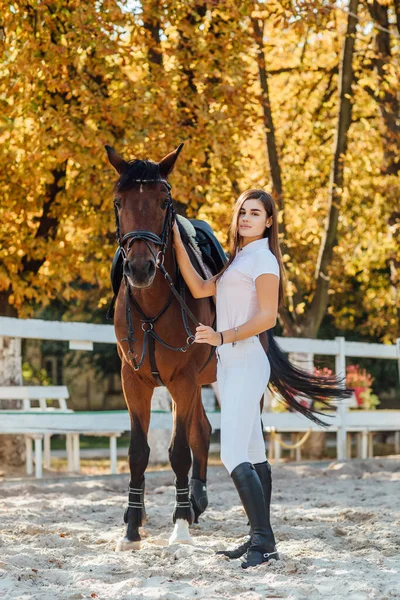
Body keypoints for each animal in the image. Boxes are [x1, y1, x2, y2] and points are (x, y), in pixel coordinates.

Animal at [105, 143, 219, 552]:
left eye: (163, 200)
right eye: (119, 201)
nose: (140, 269)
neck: (153, 303)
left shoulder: (183, 379)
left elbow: (179, 452)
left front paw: (180, 526)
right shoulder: (133, 381)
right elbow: (138, 453)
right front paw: (131, 528)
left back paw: (191, 506)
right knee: (202, 429)